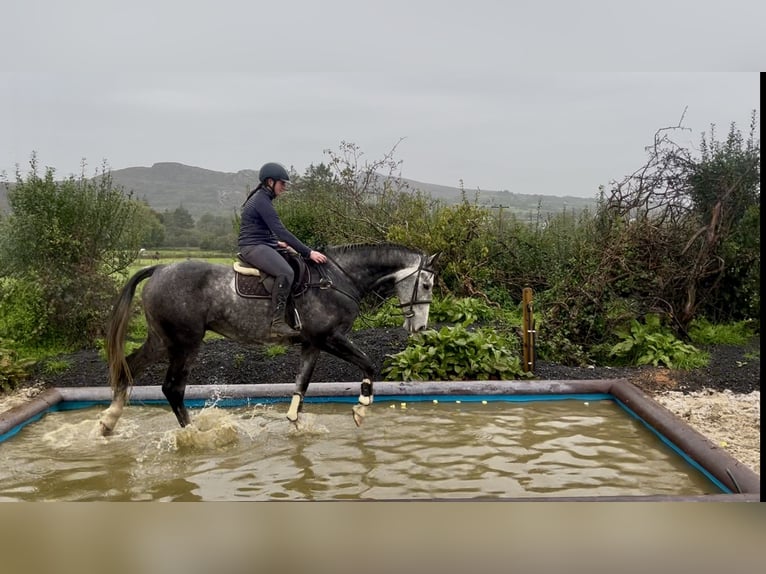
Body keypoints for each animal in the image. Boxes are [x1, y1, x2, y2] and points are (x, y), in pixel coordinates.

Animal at [98, 243, 439, 435]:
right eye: (425, 284)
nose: (421, 328)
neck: (339, 280)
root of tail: (160, 268)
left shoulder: (312, 344)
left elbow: (301, 385)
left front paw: (296, 425)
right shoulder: (330, 337)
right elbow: (368, 364)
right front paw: (361, 409)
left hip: (162, 340)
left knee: (128, 368)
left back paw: (108, 423)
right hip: (186, 343)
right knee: (172, 388)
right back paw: (195, 434)